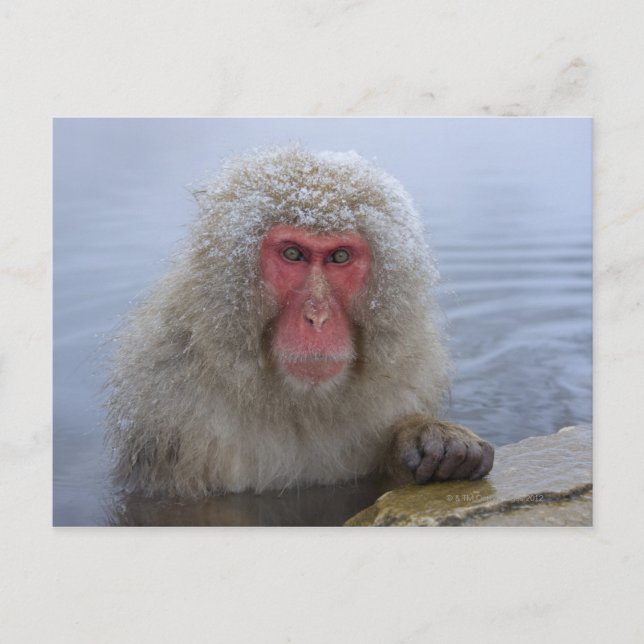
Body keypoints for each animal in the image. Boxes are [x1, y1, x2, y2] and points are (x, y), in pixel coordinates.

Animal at [106, 146, 494, 498]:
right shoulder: (167, 406)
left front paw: (429, 439)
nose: (317, 316)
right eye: (293, 253)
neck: (299, 405)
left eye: (340, 256)